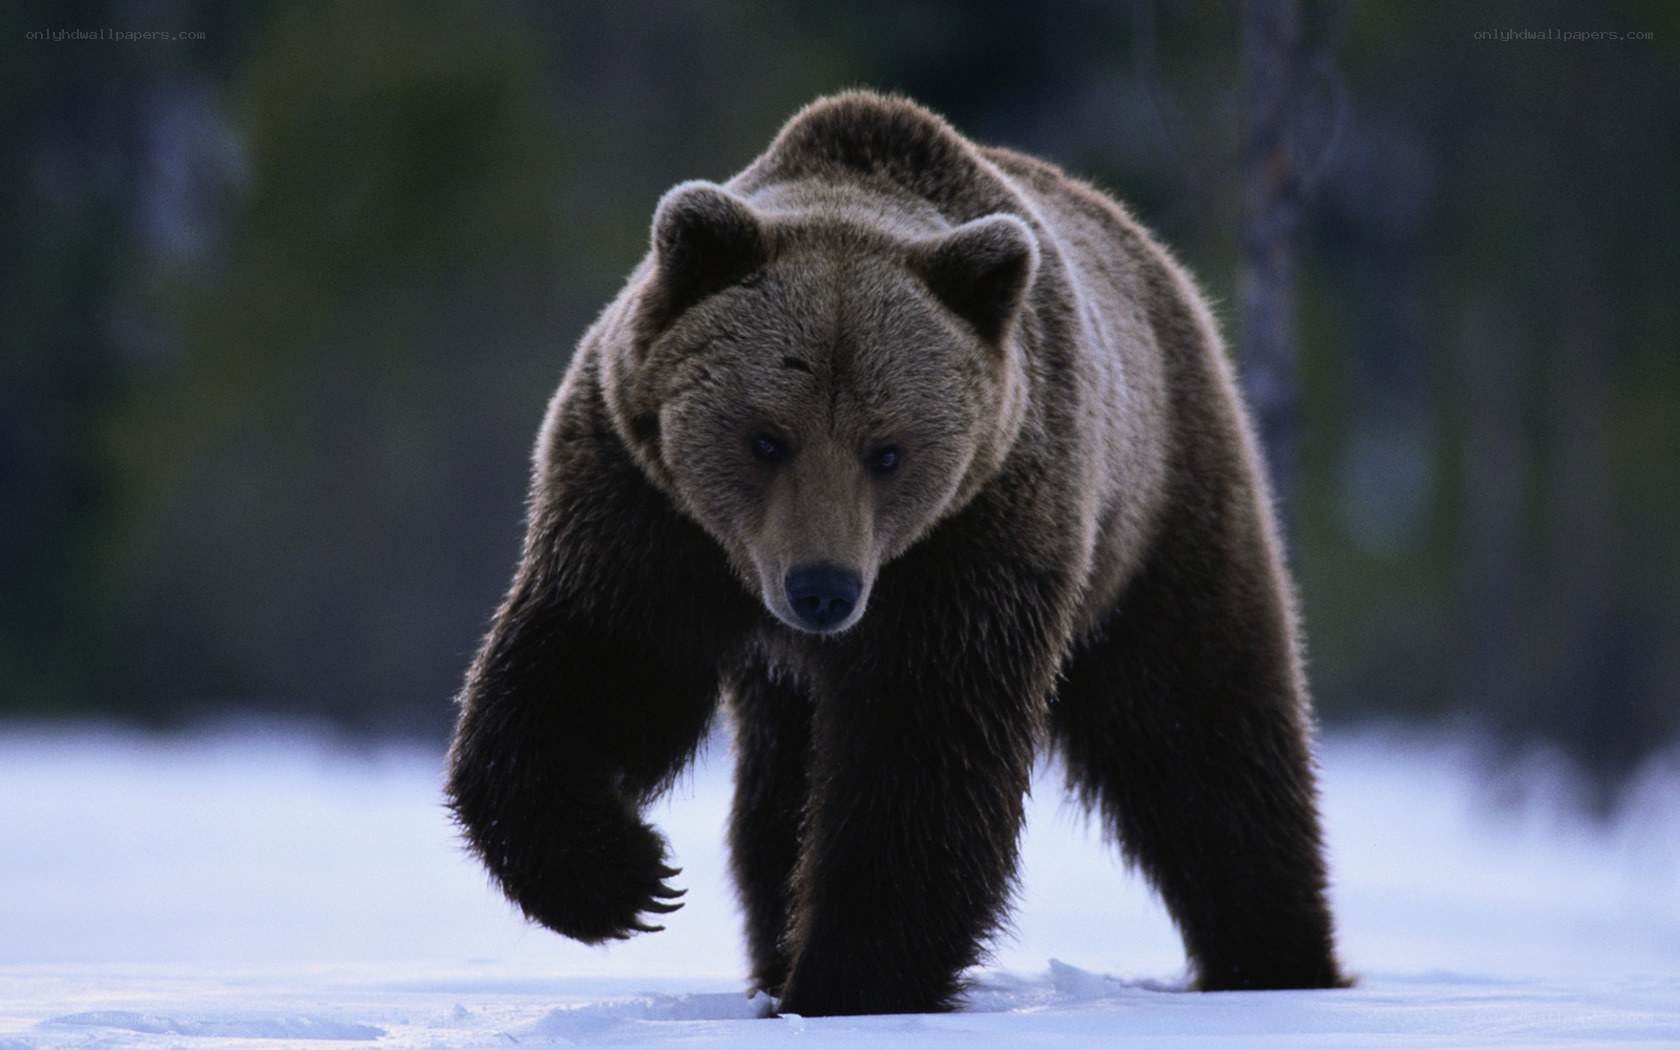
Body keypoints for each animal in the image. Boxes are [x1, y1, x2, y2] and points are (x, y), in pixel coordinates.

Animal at [445, 91, 1344, 1017]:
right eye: (766, 438)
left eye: (888, 450)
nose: (823, 589)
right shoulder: (643, 507)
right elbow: (594, 665)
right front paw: (624, 879)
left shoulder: (976, 537)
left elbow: (922, 751)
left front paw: (848, 980)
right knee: (777, 796)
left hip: (1161, 512)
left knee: (1201, 733)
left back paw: (1274, 959)